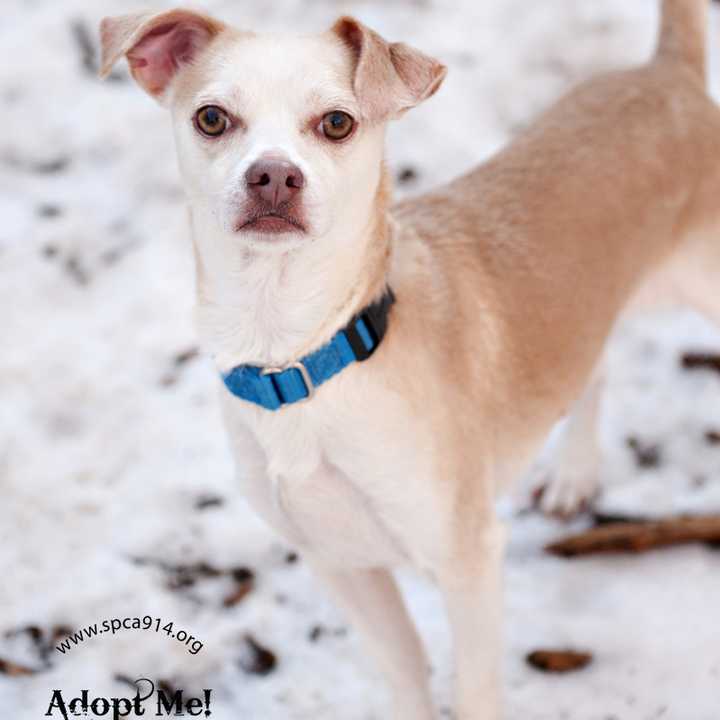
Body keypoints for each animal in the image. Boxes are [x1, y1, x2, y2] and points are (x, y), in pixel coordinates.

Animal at [100, 2, 720, 716]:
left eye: (337, 122)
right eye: (211, 117)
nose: (274, 175)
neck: (301, 355)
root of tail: (668, 70)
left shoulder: (468, 559)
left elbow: (474, 689)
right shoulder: (339, 562)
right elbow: (404, 671)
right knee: (593, 364)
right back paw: (574, 475)